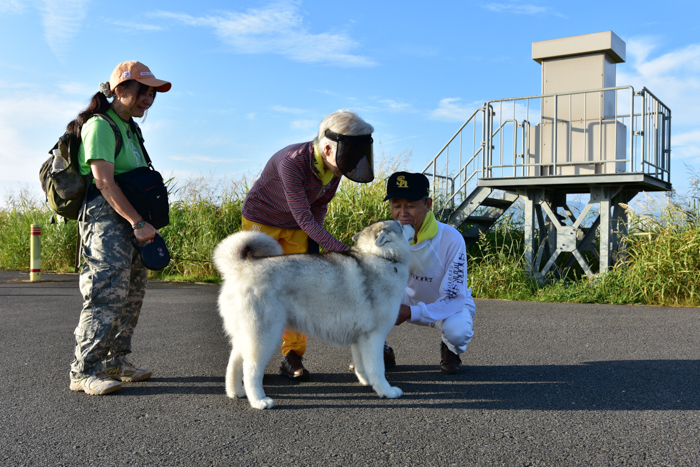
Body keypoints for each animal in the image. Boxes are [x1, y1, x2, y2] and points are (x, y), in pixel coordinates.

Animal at [211, 220, 412, 410]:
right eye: (401, 226)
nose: (410, 223)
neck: (382, 257)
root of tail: (241, 267)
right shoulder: (374, 336)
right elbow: (378, 368)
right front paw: (386, 391)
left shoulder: (360, 338)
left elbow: (363, 366)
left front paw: (368, 382)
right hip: (264, 338)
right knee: (251, 370)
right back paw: (259, 401)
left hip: (245, 335)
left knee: (234, 363)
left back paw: (236, 392)